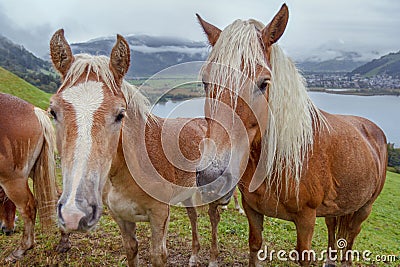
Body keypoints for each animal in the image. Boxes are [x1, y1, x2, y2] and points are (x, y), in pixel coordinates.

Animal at [0, 93, 62, 262]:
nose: (7, 230)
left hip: (13, 180)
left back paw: (21, 250)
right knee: (57, 195)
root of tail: (35, 112)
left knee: (28, 208)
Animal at [47, 29, 228, 267]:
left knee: (213, 217)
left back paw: (213, 258)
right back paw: (194, 255)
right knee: (193, 216)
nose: (75, 213)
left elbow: (158, 254)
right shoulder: (122, 219)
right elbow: (131, 249)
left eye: (120, 114)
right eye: (53, 111)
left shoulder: (159, 215)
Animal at [195, 3, 388, 266]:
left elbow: (305, 255)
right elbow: (255, 246)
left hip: (363, 209)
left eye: (264, 83)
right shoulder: (253, 210)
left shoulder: (306, 220)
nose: (211, 177)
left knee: (350, 239)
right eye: (205, 82)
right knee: (333, 228)